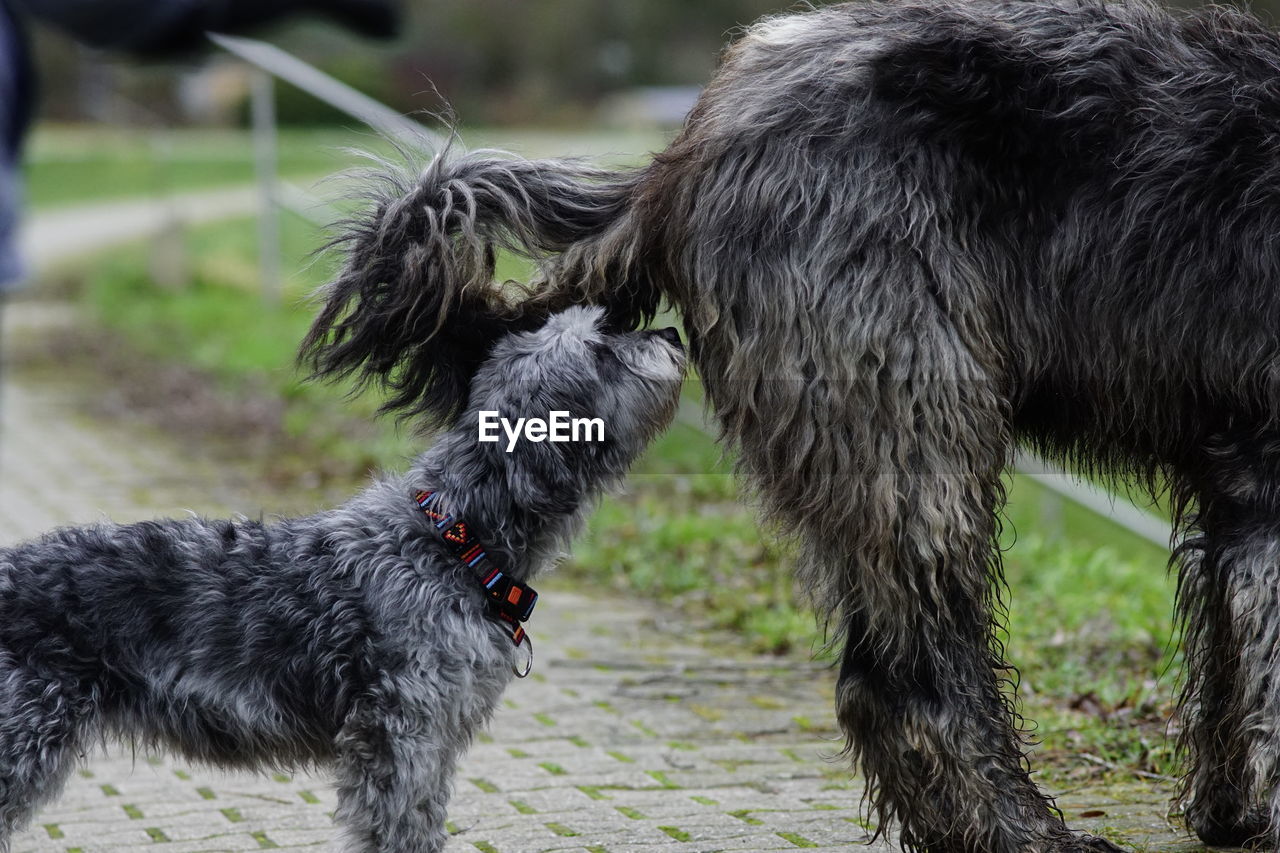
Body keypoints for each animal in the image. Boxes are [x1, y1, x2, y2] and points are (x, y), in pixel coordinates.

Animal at [0, 307, 691, 850]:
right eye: (602, 348)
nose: (673, 333)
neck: (452, 541)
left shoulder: (430, 745)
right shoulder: (403, 738)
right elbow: (399, 830)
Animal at [296, 1, 1280, 845]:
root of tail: (690, 149)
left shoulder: (1238, 486)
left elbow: (1235, 673)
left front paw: (1229, 814)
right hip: (907, 415)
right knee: (908, 677)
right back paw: (1019, 829)